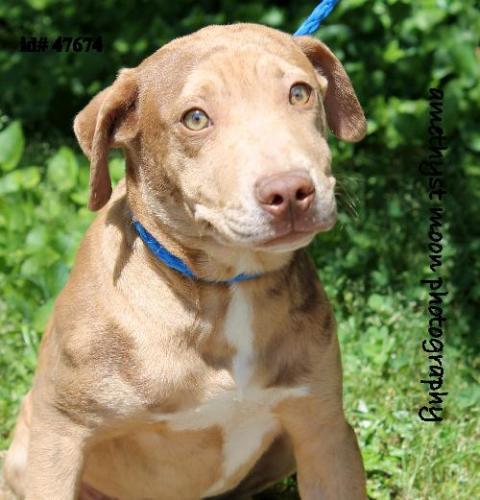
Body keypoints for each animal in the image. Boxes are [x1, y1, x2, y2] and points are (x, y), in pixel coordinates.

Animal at [2, 23, 368, 500]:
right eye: (195, 118)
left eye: (300, 92)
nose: (290, 192)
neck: (223, 290)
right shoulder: (60, 433)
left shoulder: (324, 431)